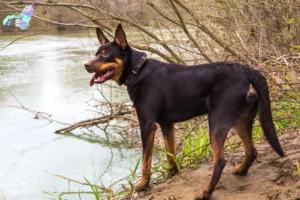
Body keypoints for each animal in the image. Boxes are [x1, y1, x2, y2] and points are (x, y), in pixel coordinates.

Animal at [84, 24, 284, 199]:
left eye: (105, 54)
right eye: (96, 54)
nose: (86, 65)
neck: (137, 70)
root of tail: (246, 69)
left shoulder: (147, 125)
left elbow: (146, 161)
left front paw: (142, 184)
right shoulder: (166, 124)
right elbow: (170, 152)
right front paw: (172, 173)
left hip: (217, 122)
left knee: (220, 161)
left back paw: (206, 192)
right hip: (241, 120)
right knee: (252, 151)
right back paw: (241, 170)